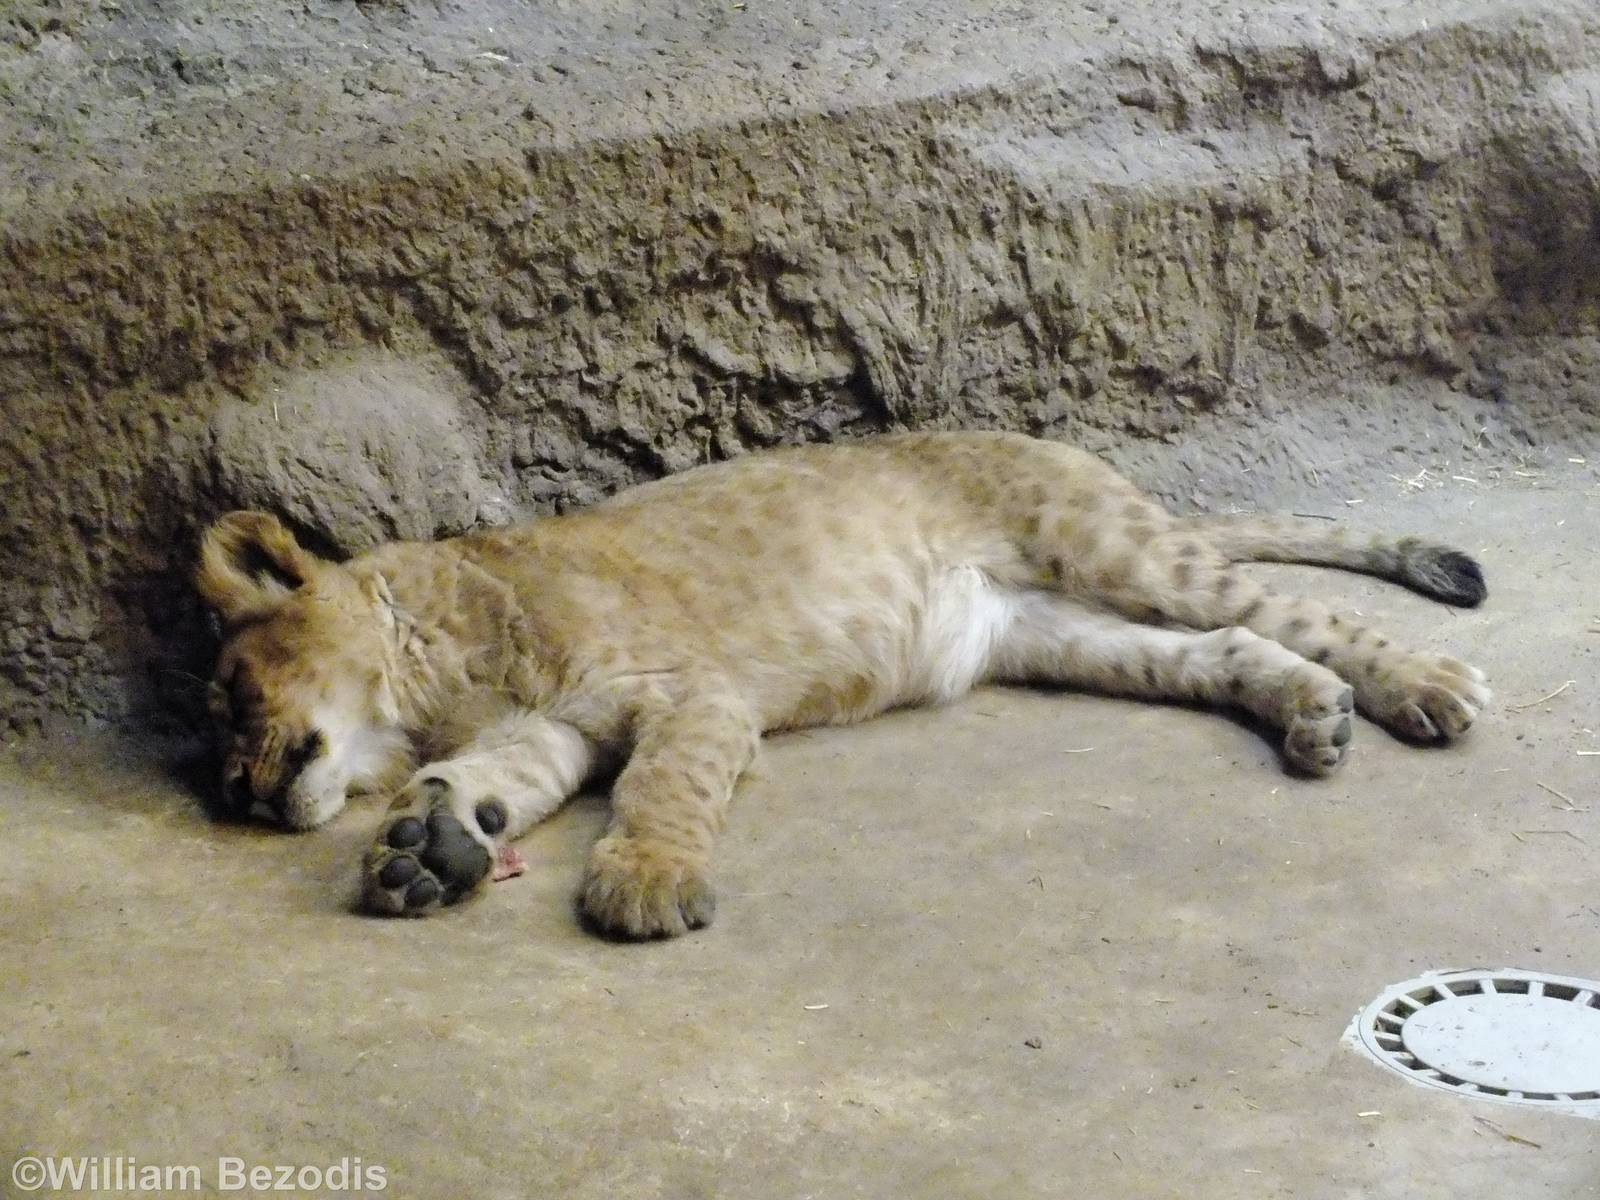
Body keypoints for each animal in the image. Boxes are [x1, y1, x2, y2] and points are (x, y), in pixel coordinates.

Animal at [196, 431, 1489, 938]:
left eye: (230, 695)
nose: (233, 795)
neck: (431, 674)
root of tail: (1072, 449)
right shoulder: (552, 729)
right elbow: (496, 780)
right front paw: (429, 848)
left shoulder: (694, 694)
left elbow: (666, 785)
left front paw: (647, 882)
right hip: (1049, 628)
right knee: (1218, 647)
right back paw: (1312, 714)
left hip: (1112, 546)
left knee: (1297, 612)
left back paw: (1426, 683)